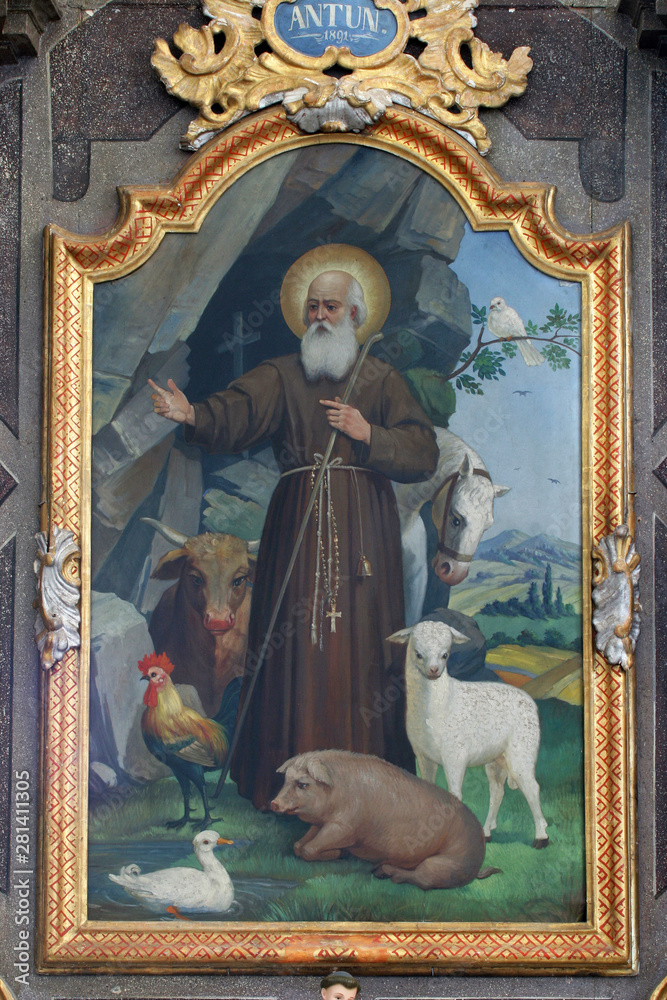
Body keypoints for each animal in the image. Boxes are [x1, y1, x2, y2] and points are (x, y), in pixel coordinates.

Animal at [270, 752, 496, 892]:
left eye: (303, 784)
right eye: (286, 780)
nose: (273, 803)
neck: (337, 793)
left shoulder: (344, 827)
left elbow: (309, 849)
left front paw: (339, 854)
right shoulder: (320, 824)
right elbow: (298, 845)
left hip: (444, 864)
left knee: (422, 879)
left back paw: (385, 872)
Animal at [388, 620, 552, 848]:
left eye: (445, 654)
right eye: (418, 654)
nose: (434, 671)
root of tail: (529, 700)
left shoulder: (455, 756)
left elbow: (454, 795)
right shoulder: (423, 756)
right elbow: (429, 790)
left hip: (522, 750)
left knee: (532, 787)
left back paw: (541, 836)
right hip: (495, 758)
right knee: (497, 790)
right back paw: (487, 832)